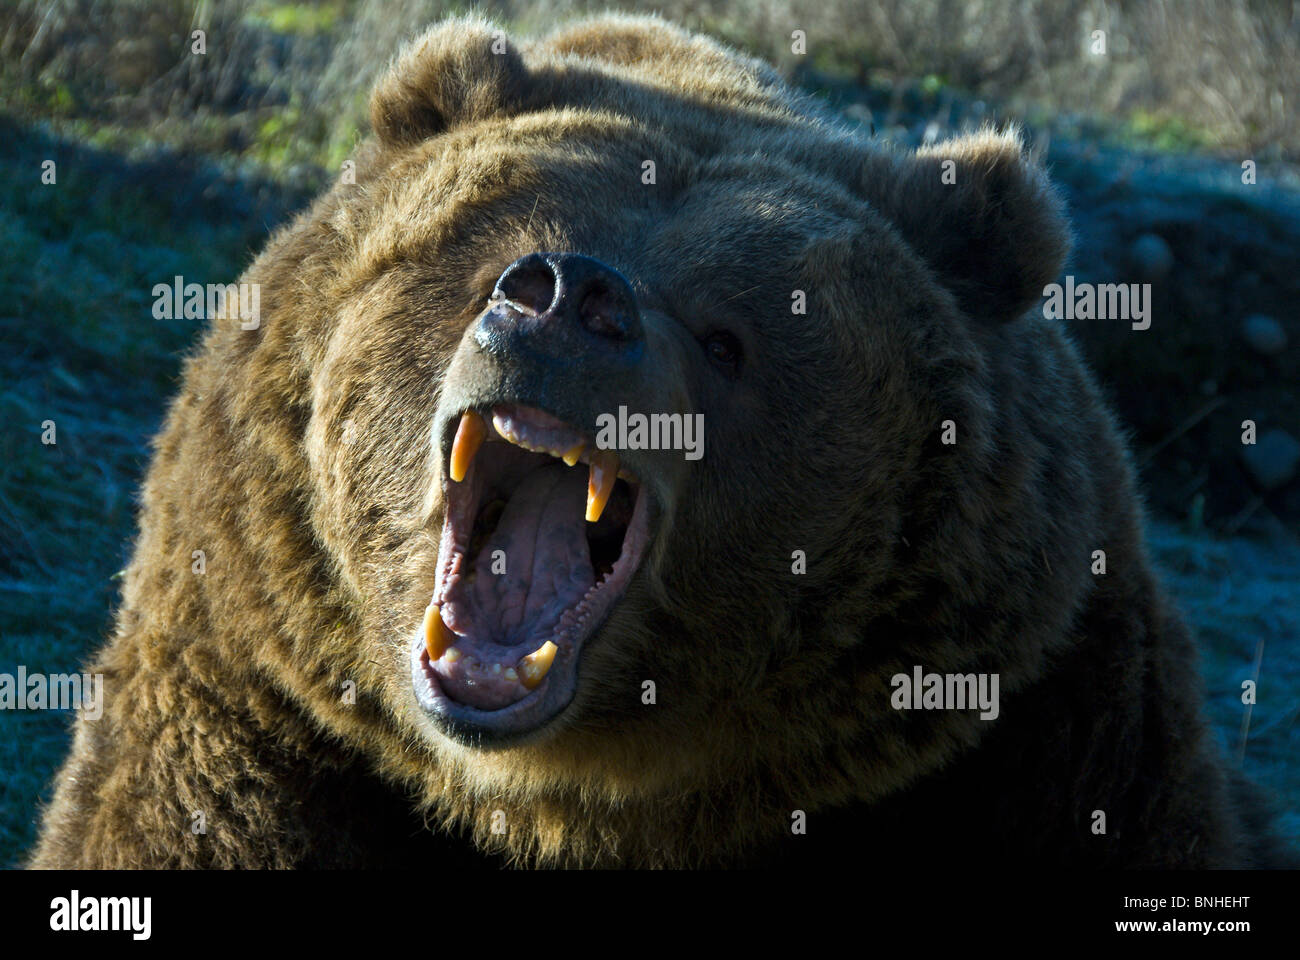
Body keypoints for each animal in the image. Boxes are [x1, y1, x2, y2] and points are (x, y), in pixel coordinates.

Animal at [30, 14, 1289, 868]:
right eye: (498, 257)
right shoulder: (264, 689)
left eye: (729, 336)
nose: (561, 296)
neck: (570, 796)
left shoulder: (1029, 731)